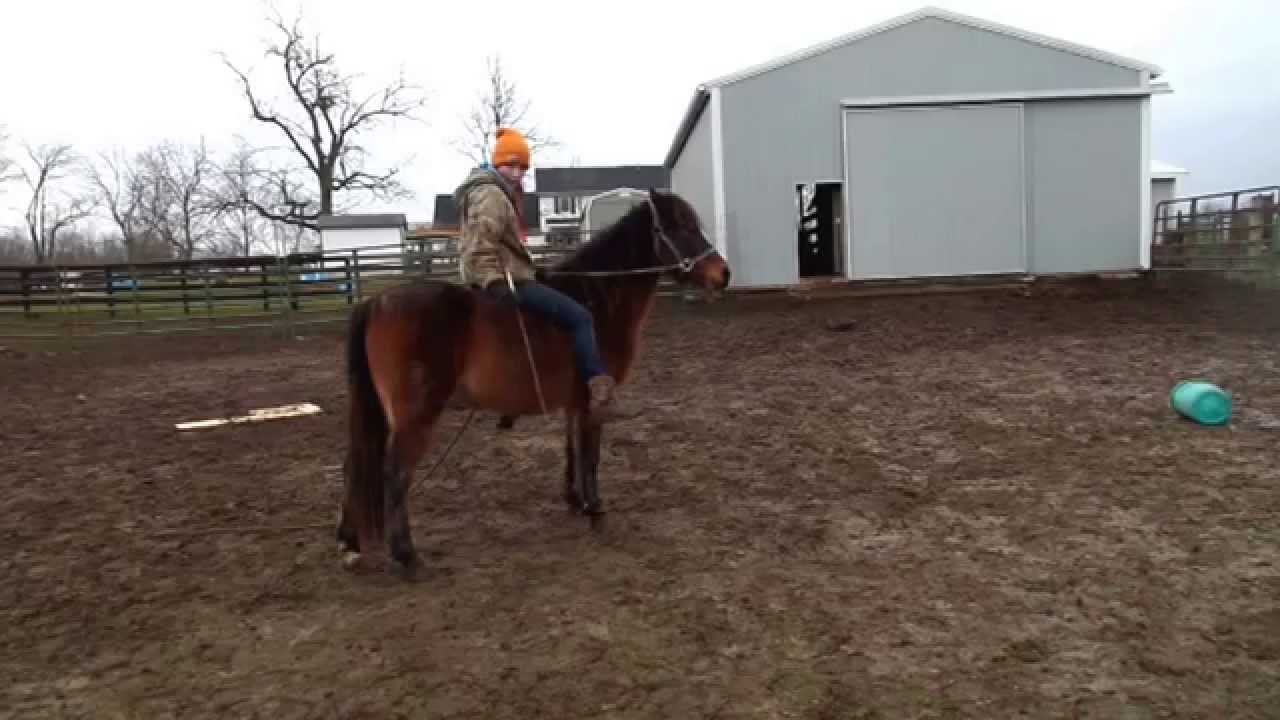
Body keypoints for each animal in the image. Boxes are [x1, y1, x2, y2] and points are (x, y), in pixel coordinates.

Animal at [337, 188, 731, 578]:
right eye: (681, 228)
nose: (723, 274)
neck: (596, 298)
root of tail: (375, 303)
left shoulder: (575, 402)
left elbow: (572, 450)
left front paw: (575, 501)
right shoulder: (594, 403)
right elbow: (591, 455)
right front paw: (595, 510)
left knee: (356, 468)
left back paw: (351, 544)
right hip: (415, 418)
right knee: (394, 475)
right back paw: (406, 556)